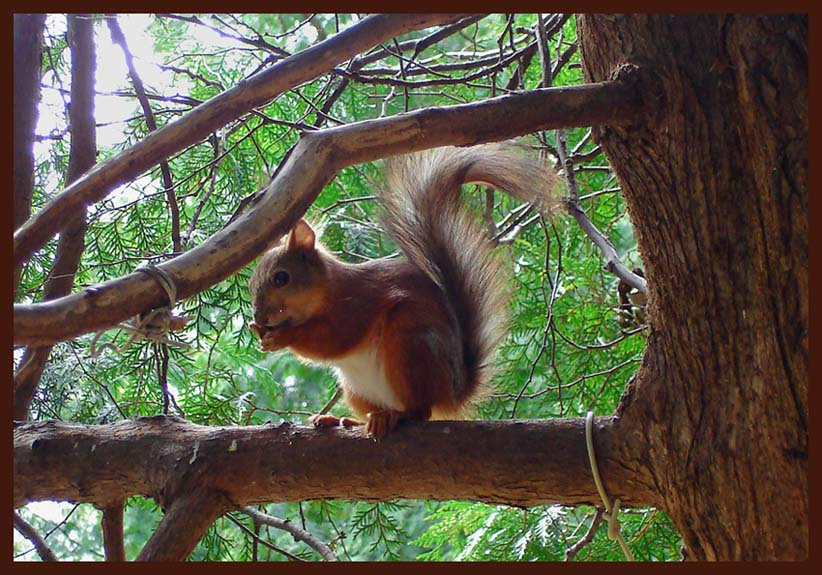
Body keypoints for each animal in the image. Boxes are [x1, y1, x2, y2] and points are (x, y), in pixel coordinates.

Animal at [249, 143, 557, 438]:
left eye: (281, 278)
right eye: (252, 283)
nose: (260, 316)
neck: (328, 290)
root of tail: (452, 391)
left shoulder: (355, 304)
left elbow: (332, 339)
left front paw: (283, 336)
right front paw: (258, 333)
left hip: (409, 341)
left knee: (420, 411)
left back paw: (394, 416)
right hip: (357, 388)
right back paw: (345, 419)